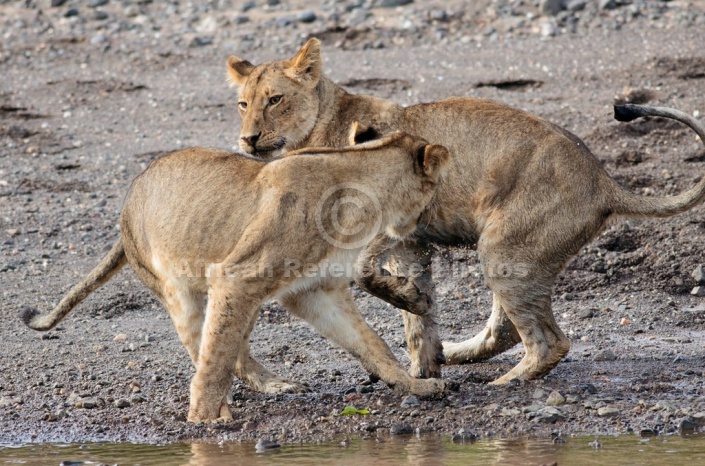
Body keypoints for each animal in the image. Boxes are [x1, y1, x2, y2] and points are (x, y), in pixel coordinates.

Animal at [23, 133, 452, 420]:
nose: (429, 218)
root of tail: (126, 208)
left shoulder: (315, 290)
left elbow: (370, 344)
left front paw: (415, 385)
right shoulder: (238, 275)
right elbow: (215, 359)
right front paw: (204, 421)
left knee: (234, 349)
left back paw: (274, 384)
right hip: (182, 290)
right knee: (206, 347)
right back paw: (232, 399)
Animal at [224, 39, 704, 382]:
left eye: (275, 100)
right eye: (243, 104)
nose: (248, 138)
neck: (321, 126)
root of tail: (604, 181)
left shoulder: (394, 224)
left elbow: (364, 273)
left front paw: (415, 324)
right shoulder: (412, 244)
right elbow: (417, 321)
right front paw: (423, 359)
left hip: (504, 246)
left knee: (549, 342)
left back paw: (507, 384)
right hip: (513, 255)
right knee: (507, 329)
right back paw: (457, 354)